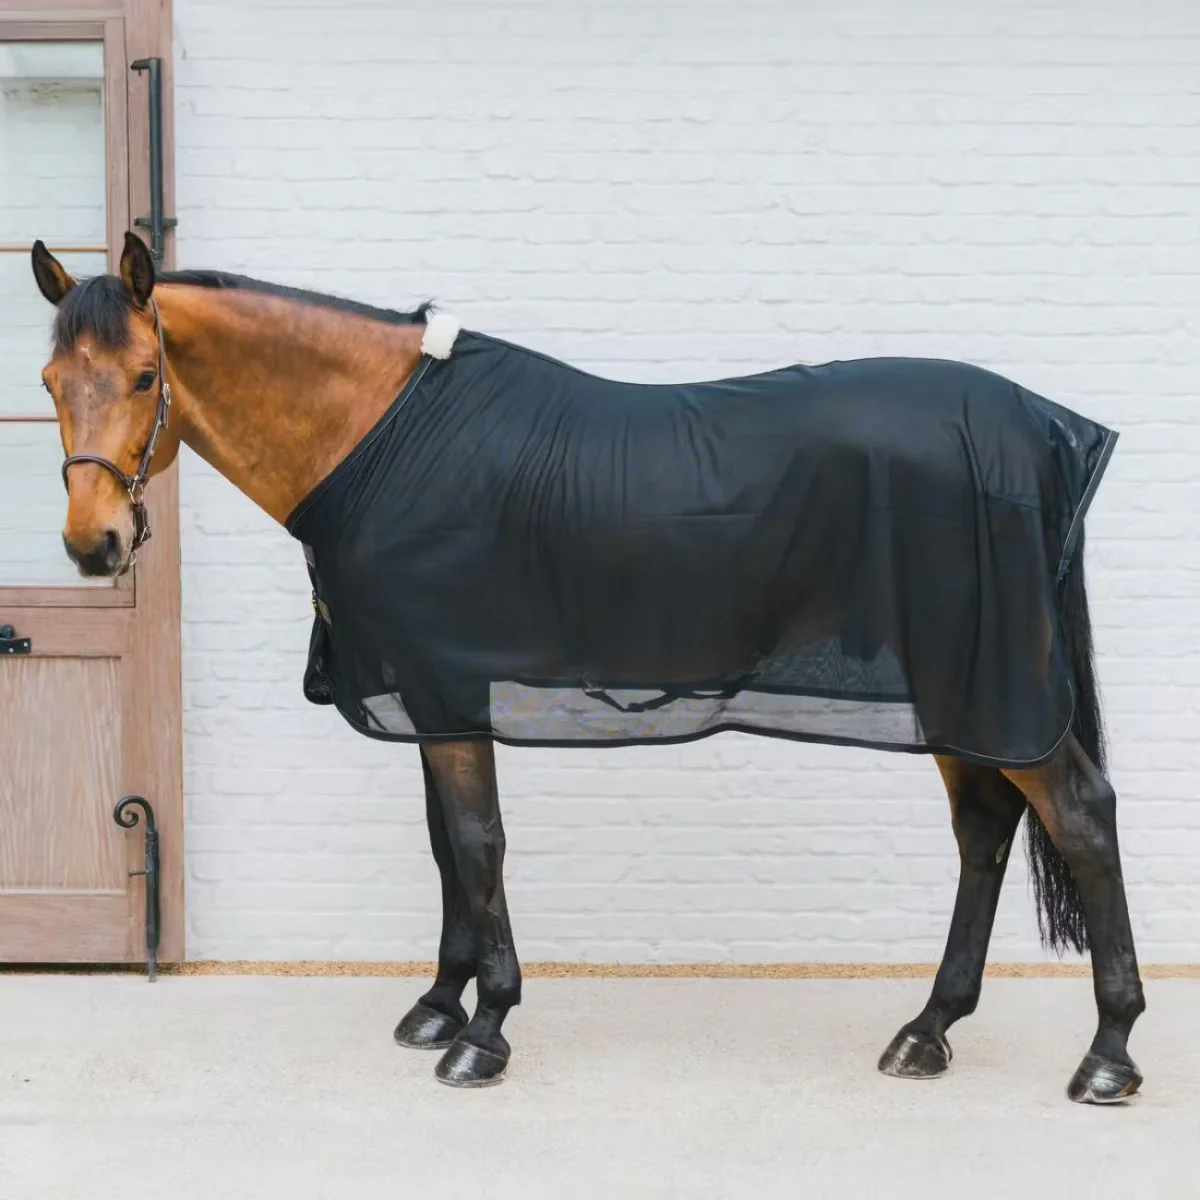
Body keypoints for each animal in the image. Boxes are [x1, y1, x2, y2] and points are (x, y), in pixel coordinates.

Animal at [31, 233, 1145, 1102]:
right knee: (985, 829)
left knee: (1079, 816)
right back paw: (929, 1030)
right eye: (48, 384)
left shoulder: (446, 687)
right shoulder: (433, 697)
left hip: (988, 687)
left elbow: (477, 845)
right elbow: (445, 849)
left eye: (144, 377)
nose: (92, 544)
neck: (379, 440)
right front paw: (439, 1005)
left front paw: (485, 1033)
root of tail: (1049, 436)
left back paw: (1108, 1054)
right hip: (957, 697)